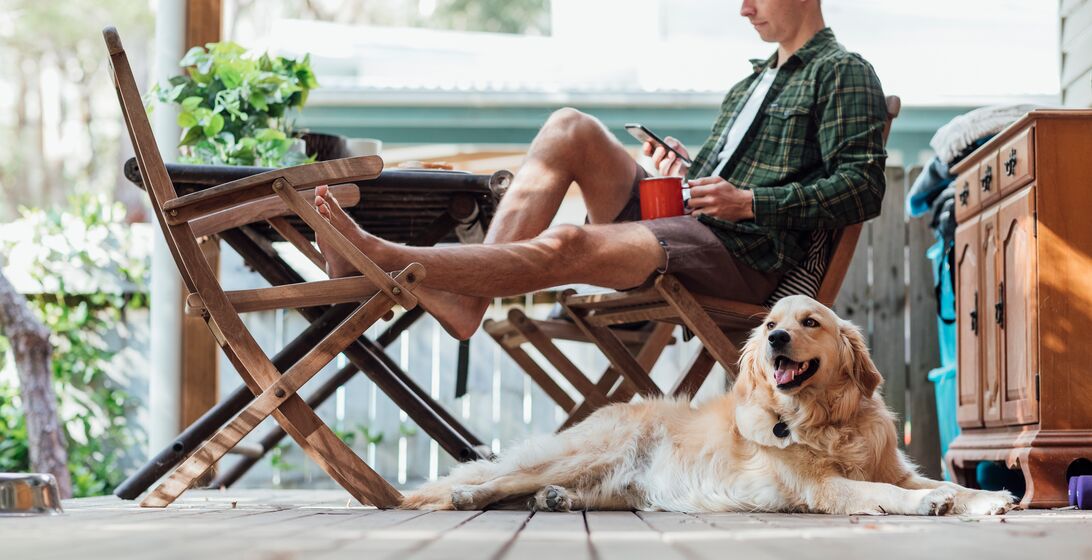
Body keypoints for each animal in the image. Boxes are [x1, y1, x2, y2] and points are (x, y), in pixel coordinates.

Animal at [404, 296, 1013, 515]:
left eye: (810, 322)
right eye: (769, 325)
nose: (775, 340)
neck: (825, 419)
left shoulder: (895, 466)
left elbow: (945, 481)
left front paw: (988, 498)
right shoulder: (824, 488)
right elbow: (886, 494)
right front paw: (929, 505)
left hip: (617, 479)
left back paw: (557, 499)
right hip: (594, 450)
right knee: (505, 478)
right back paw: (469, 495)